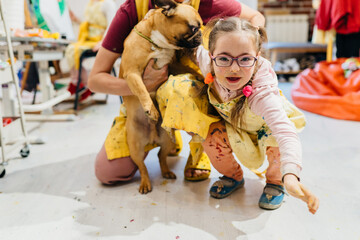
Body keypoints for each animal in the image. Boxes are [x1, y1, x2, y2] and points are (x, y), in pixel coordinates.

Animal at [120, 0, 202, 194]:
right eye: (194, 28)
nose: (202, 35)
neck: (159, 44)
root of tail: (152, 139)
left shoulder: (172, 66)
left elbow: (188, 70)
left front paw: (202, 76)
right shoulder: (132, 73)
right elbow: (142, 89)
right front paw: (150, 109)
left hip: (166, 141)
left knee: (161, 156)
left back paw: (166, 172)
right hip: (135, 148)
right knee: (142, 166)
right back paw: (145, 183)